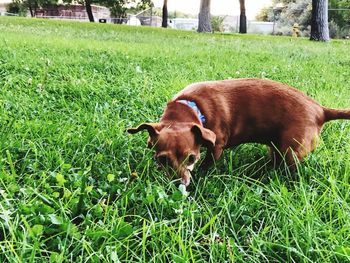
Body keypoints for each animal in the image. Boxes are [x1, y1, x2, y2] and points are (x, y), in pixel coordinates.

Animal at [129, 79, 350, 187]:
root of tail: (320, 110)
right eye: (162, 160)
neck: (191, 107)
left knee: (292, 169)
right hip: (276, 147)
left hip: (292, 150)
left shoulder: (217, 146)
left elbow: (208, 163)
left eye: (192, 158)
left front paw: (202, 174)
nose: (179, 184)